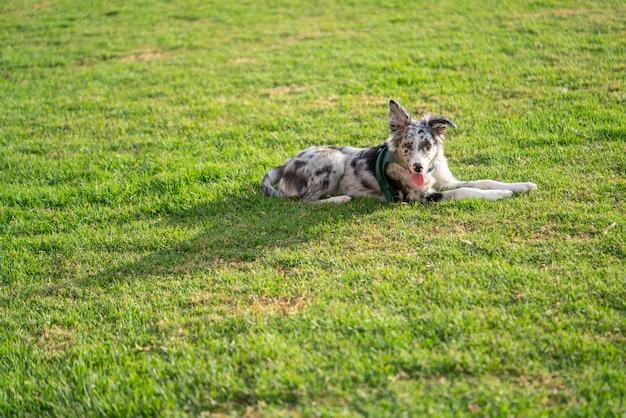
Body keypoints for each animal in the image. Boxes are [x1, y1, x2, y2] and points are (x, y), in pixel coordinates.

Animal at [260, 100, 532, 204]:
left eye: (427, 145)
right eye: (407, 146)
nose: (417, 167)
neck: (429, 173)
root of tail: (285, 165)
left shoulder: (445, 182)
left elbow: (483, 180)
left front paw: (521, 185)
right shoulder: (419, 197)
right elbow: (465, 191)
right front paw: (500, 195)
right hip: (333, 160)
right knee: (304, 201)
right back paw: (340, 199)